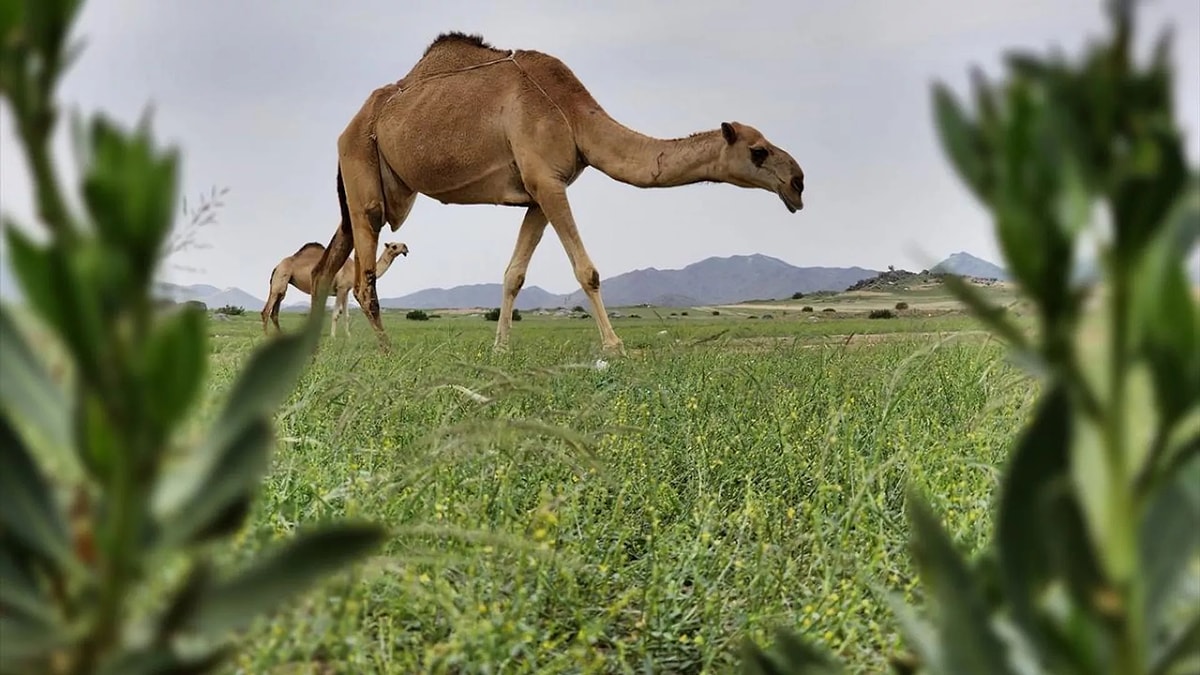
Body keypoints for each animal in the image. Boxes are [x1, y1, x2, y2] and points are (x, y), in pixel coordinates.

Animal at [261, 240, 410, 336]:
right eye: (394, 246)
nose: (406, 248)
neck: (354, 269)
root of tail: (277, 266)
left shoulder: (346, 290)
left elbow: (346, 315)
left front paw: (348, 336)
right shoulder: (341, 288)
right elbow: (336, 313)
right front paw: (333, 336)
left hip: (283, 285)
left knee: (275, 311)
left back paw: (280, 336)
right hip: (280, 279)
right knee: (266, 311)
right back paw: (266, 336)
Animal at [309, 30, 806, 355]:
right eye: (759, 151)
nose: (798, 183)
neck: (573, 114)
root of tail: (348, 126)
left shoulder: (540, 191)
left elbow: (514, 274)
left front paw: (501, 348)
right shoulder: (546, 181)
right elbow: (587, 270)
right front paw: (614, 345)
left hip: (369, 187)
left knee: (326, 265)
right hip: (364, 173)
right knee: (363, 276)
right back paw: (387, 350)